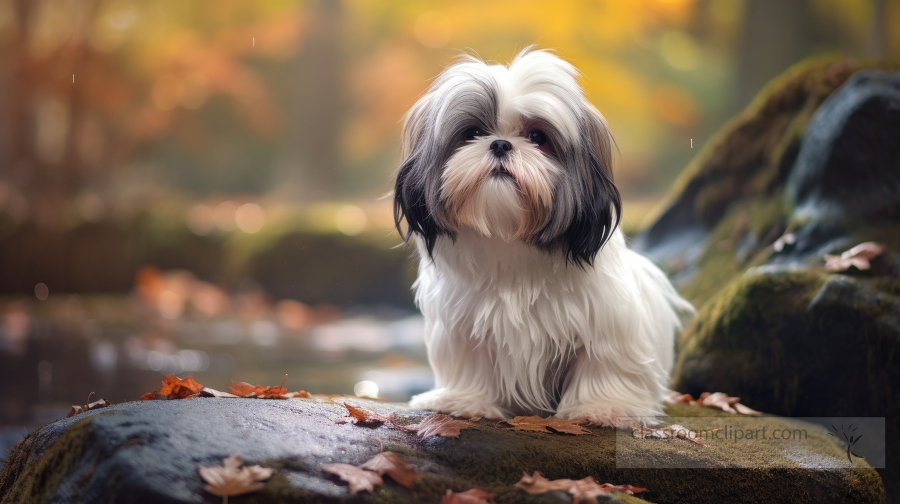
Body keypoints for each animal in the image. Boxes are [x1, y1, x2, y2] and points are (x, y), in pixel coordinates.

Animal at [390, 48, 692, 426]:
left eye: (537, 138)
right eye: (472, 132)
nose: (500, 144)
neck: (510, 239)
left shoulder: (606, 321)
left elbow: (602, 362)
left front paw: (603, 406)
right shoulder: (464, 324)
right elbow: (471, 360)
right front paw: (466, 400)